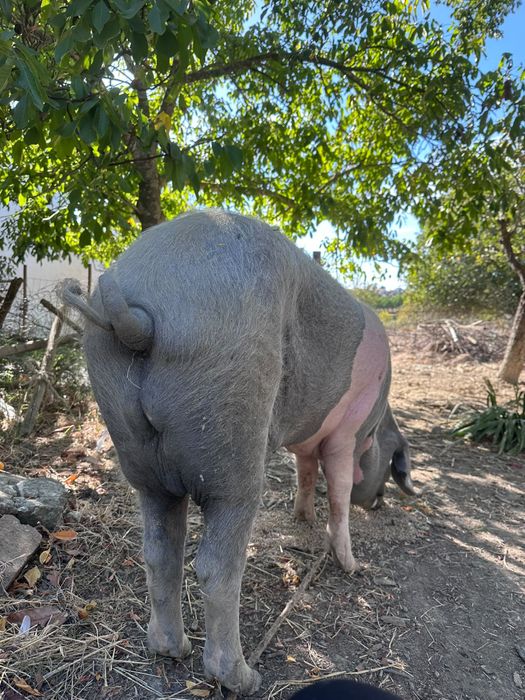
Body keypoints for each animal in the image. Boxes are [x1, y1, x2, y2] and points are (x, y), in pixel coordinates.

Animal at [63, 208, 414, 696]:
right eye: (390, 459)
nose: (380, 501)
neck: (375, 425)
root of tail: (139, 315)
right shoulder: (345, 434)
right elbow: (339, 493)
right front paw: (352, 565)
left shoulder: (305, 441)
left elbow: (306, 473)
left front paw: (302, 518)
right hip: (235, 443)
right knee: (216, 566)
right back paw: (244, 679)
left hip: (134, 442)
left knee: (160, 550)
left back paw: (170, 650)